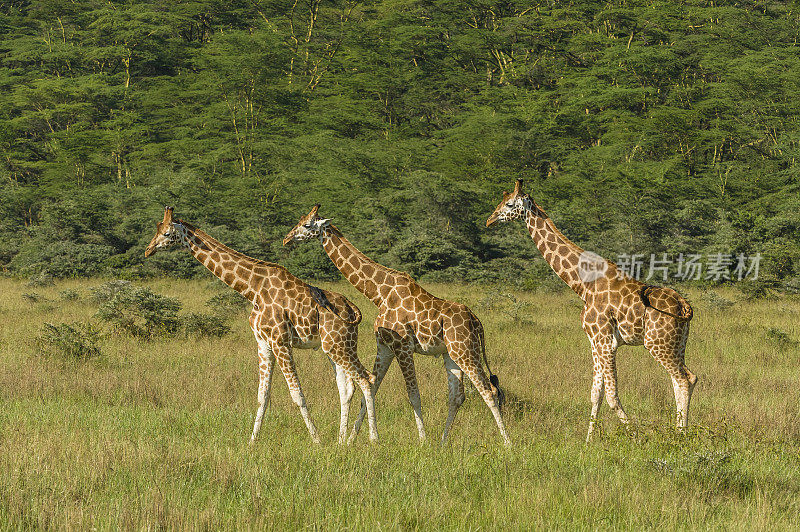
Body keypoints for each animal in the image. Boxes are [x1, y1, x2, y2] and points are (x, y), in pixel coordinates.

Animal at [145, 208, 378, 444]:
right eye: (157, 229)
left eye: (166, 233)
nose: (148, 250)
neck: (252, 289)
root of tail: (352, 308)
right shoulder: (263, 342)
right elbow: (262, 396)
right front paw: (252, 441)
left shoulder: (280, 341)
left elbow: (297, 394)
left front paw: (317, 441)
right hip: (333, 347)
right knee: (346, 388)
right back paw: (341, 441)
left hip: (340, 345)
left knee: (367, 378)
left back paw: (372, 439)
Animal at [282, 206, 512, 446]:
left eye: (307, 224)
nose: (287, 239)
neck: (379, 294)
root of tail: (478, 323)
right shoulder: (385, 346)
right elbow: (372, 387)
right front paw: (352, 439)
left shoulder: (403, 347)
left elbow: (413, 396)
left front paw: (422, 441)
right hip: (451, 354)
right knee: (457, 397)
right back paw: (442, 442)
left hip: (466, 350)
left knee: (489, 391)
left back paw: (508, 443)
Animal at [484, 179, 696, 440]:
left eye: (509, 204)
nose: (489, 220)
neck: (583, 285)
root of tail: (684, 306)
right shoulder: (595, 340)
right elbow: (596, 394)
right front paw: (588, 442)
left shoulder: (604, 339)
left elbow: (612, 396)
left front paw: (636, 436)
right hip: (678, 345)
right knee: (684, 379)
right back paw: (680, 431)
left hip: (658, 344)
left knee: (683, 379)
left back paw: (680, 436)